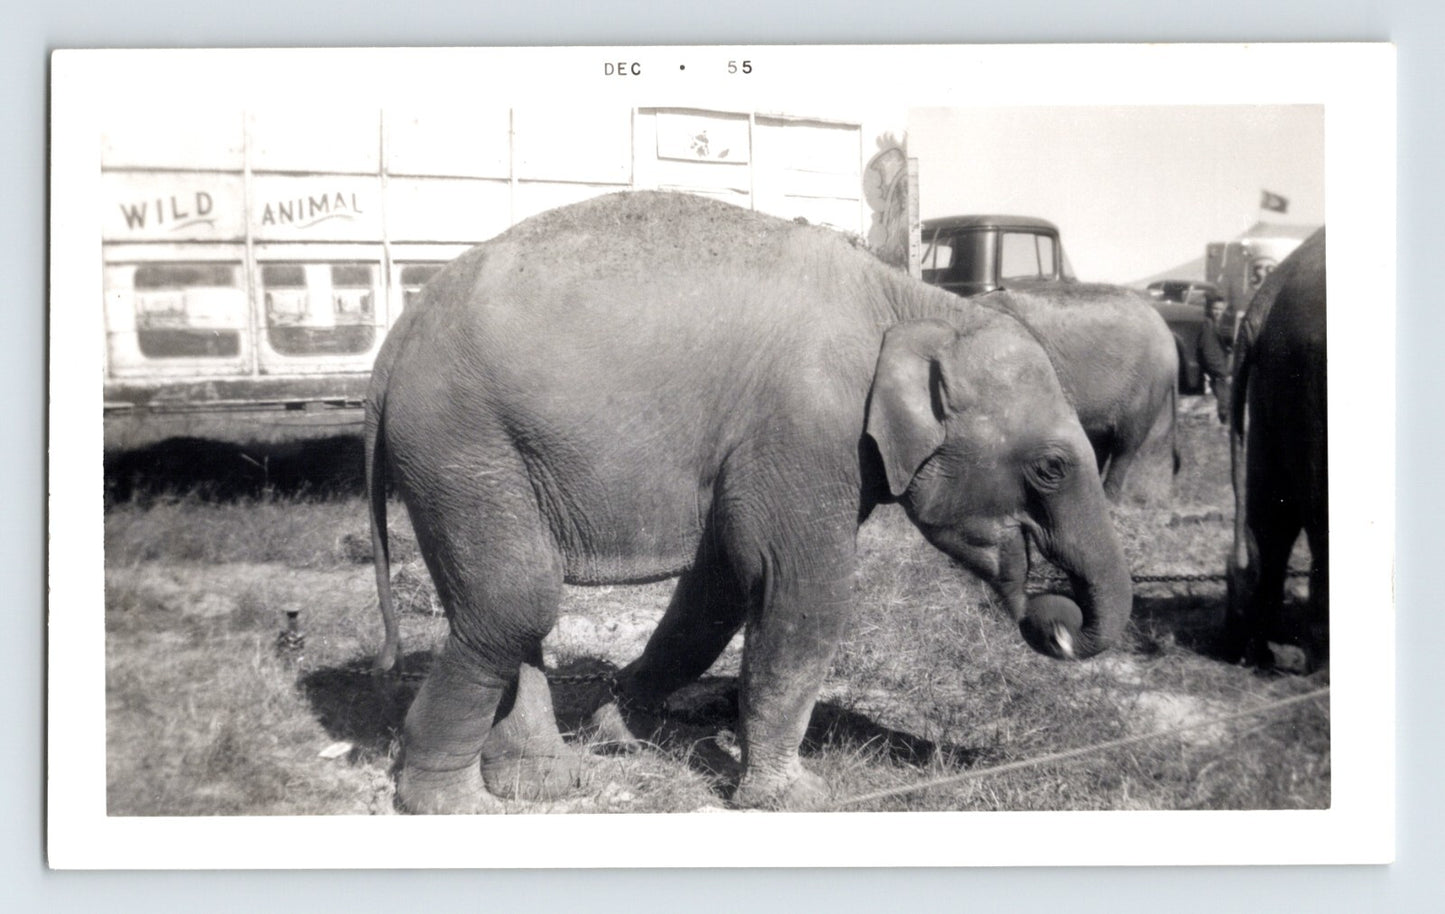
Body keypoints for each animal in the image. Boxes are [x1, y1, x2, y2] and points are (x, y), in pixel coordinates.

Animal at [365, 191, 1134, 813]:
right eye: (1051, 467)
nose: (1055, 617)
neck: (915, 304)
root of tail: (394, 343)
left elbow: (720, 587)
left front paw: (618, 730)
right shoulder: (806, 427)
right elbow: (801, 589)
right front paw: (796, 798)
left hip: (467, 456)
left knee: (509, 607)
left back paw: (548, 782)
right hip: (461, 442)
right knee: (515, 602)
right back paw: (453, 805)